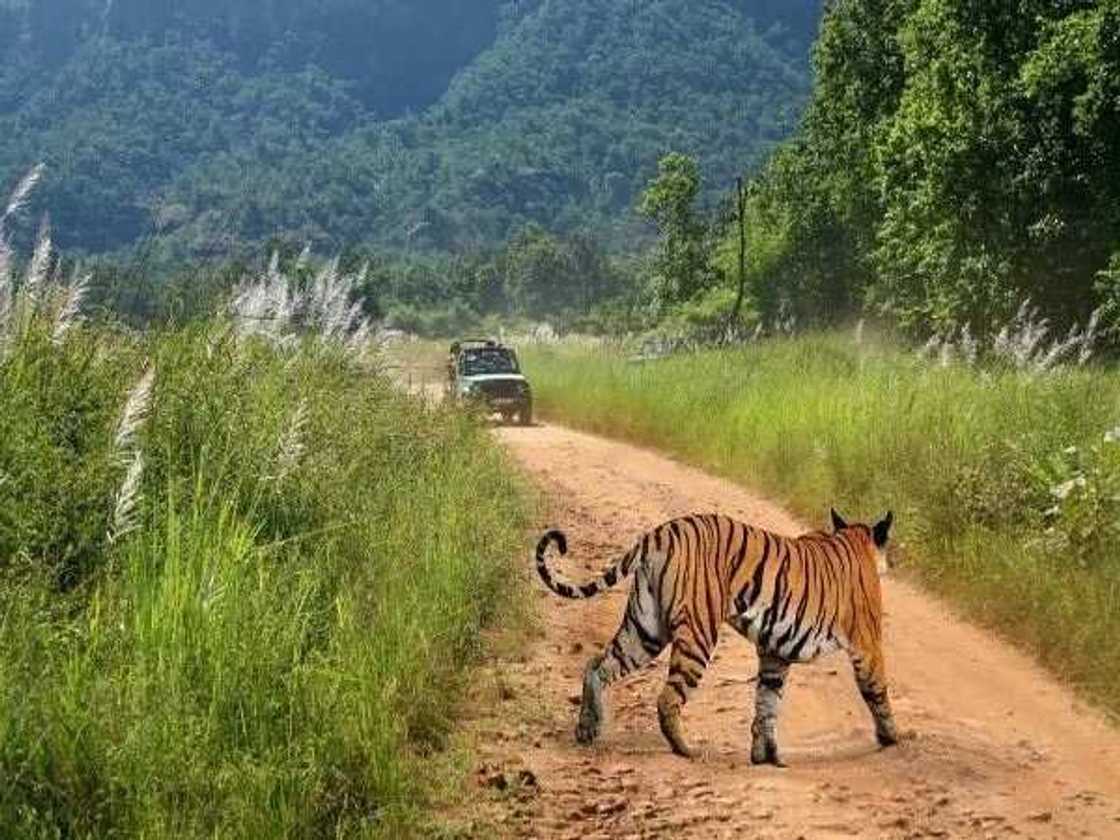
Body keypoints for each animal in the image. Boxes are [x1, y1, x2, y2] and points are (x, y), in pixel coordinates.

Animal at [535, 510, 900, 766]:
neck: (856, 540)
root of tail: (659, 533)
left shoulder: (773, 653)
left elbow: (767, 703)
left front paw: (765, 755)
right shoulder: (868, 644)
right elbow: (877, 692)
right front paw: (893, 737)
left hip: (645, 629)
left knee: (597, 666)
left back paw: (587, 728)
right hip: (697, 633)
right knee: (667, 698)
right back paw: (686, 750)